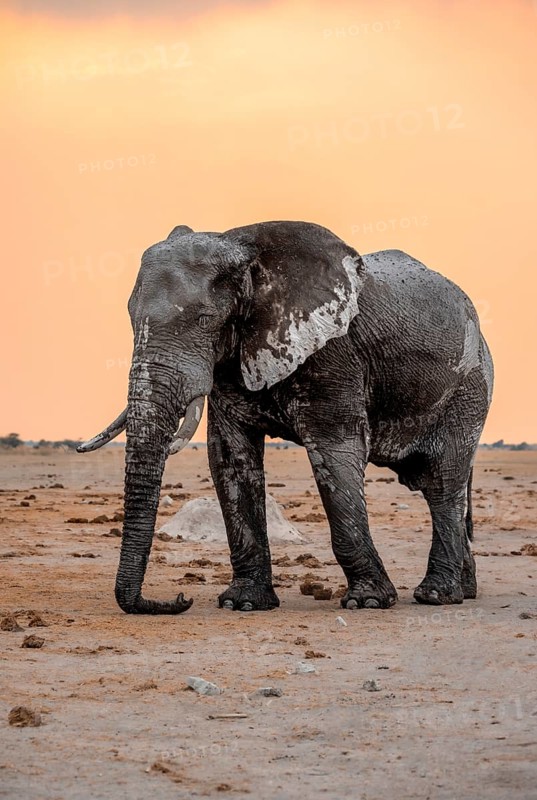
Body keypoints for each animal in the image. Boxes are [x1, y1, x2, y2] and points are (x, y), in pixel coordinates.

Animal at [78, 221, 493, 615]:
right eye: (131, 317)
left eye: (205, 320)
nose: (180, 599)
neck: (243, 249)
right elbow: (231, 459)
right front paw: (243, 603)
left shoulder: (334, 352)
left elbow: (336, 453)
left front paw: (369, 602)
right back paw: (465, 591)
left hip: (470, 388)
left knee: (442, 483)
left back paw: (438, 595)